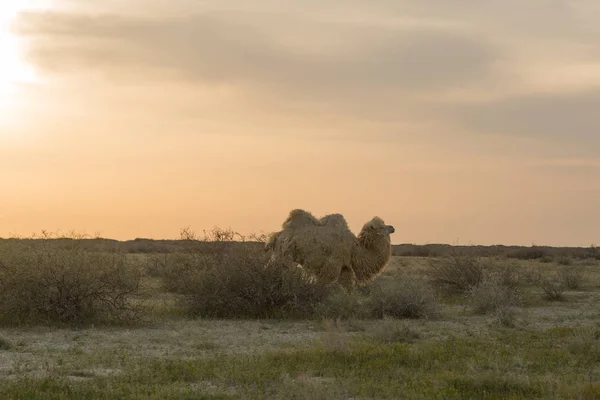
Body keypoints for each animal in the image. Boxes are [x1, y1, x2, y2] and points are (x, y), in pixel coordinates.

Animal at [264, 209, 396, 288]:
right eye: (381, 227)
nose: (392, 227)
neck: (354, 248)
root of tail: (276, 236)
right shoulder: (333, 264)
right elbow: (322, 283)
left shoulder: (345, 266)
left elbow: (348, 288)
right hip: (285, 254)